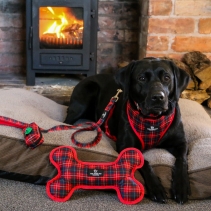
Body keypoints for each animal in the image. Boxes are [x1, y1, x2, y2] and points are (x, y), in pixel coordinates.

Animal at [64, 58, 190, 204]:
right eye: (141, 78)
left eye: (167, 77)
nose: (158, 97)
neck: (152, 120)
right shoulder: (127, 145)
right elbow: (144, 162)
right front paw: (156, 188)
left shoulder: (181, 143)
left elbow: (182, 161)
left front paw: (181, 187)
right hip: (86, 95)